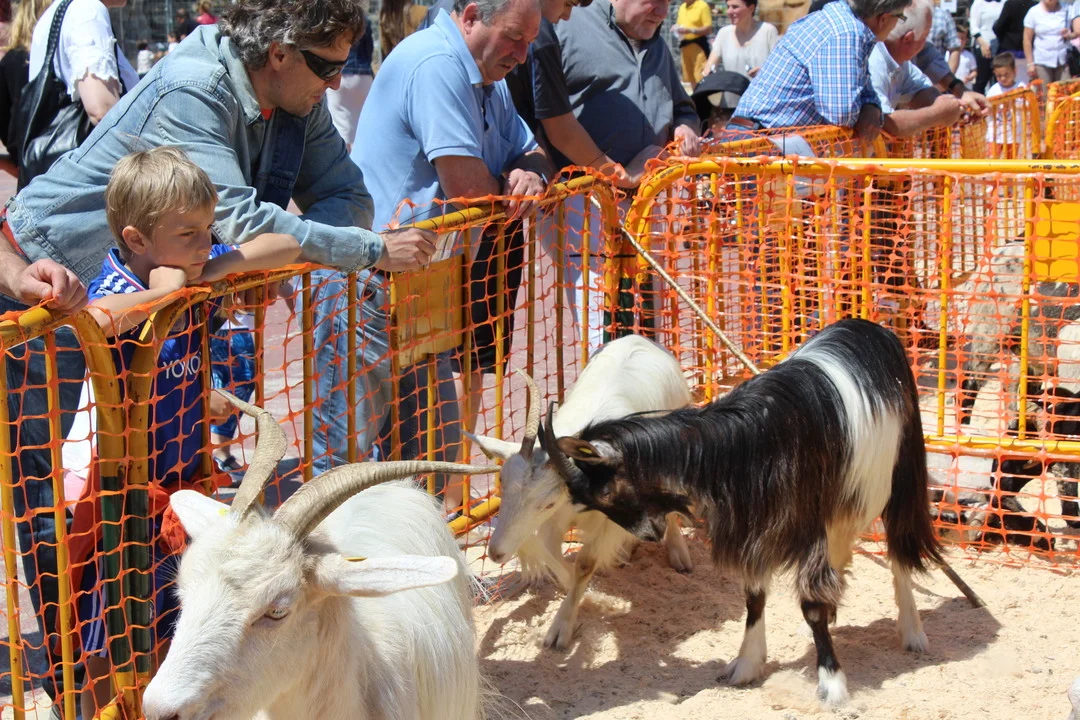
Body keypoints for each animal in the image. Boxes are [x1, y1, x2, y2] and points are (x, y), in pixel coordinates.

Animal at [470, 335, 693, 650]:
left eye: (547, 503)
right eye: (501, 481)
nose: (496, 552)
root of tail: (638, 338)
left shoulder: (605, 516)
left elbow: (586, 564)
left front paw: (561, 628)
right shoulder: (557, 520)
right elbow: (552, 554)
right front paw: (588, 599)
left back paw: (677, 553)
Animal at [546, 319, 943, 706]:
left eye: (605, 492)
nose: (650, 533)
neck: (752, 442)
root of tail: (874, 329)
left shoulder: (805, 519)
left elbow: (811, 601)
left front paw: (832, 685)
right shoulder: (757, 522)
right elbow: (754, 596)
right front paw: (747, 665)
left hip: (900, 471)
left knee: (899, 547)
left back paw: (913, 632)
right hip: (845, 499)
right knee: (843, 549)